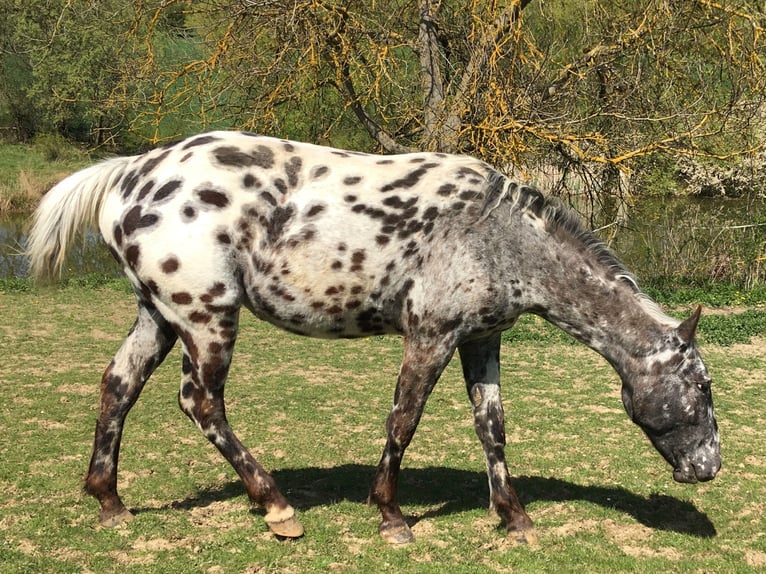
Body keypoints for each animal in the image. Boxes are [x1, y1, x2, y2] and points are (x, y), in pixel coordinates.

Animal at [26, 131, 720, 545]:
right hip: (206, 319)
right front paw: (390, 516)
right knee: (200, 403)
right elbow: (403, 420)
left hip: (158, 316)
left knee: (119, 385)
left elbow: (491, 427)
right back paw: (276, 507)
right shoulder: (430, 337)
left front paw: (515, 516)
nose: (708, 468)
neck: (498, 234)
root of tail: (131, 172)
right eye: (702, 388)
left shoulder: (481, 342)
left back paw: (110, 501)